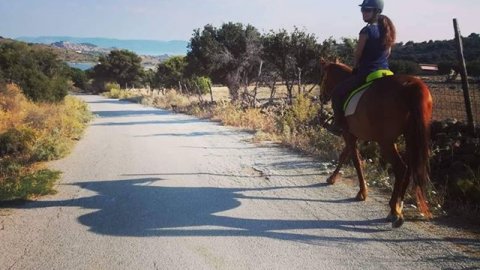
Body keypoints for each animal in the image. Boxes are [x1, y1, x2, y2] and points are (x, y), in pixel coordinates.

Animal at [318, 59, 436, 228]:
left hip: (386, 142)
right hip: (410, 137)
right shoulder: (353, 135)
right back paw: (398, 207)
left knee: (401, 168)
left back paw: (394, 211)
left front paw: (362, 193)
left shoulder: (349, 135)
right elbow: (344, 155)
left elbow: (355, 161)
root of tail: (412, 86)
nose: (321, 97)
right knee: (408, 169)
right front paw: (332, 178)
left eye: (322, 77)